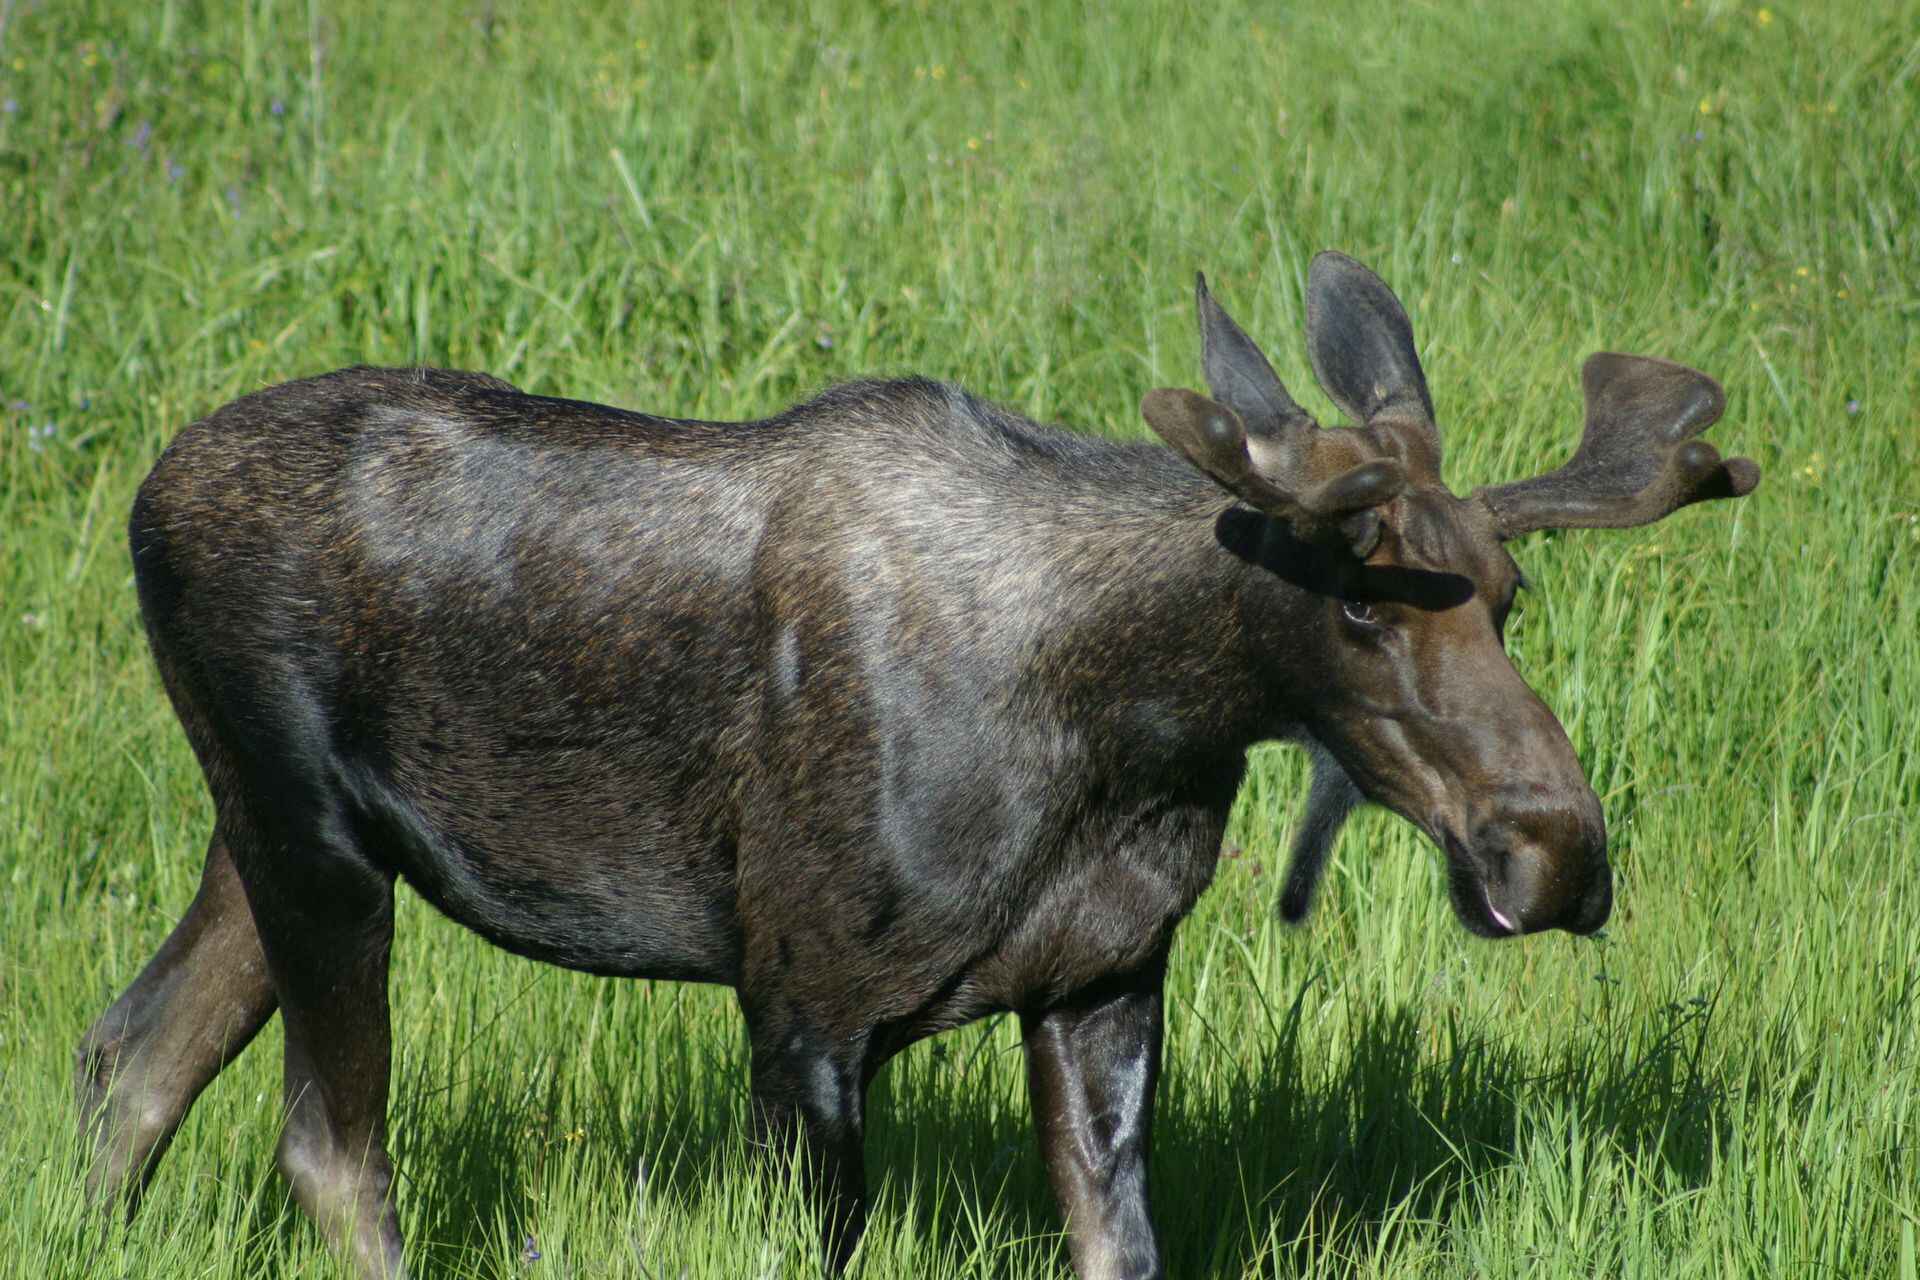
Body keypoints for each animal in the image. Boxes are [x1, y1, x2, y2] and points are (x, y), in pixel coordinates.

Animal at [76, 252, 1758, 1279]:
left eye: (1508, 595)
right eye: (1358, 600)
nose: (1556, 848)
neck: (1132, 738)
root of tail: (150, 492)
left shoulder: (1101, 982)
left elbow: (1121, 1243)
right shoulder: (800, 1001)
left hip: (271, 836)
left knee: (129, 1057)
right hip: (310, 836)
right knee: (324, 1144)